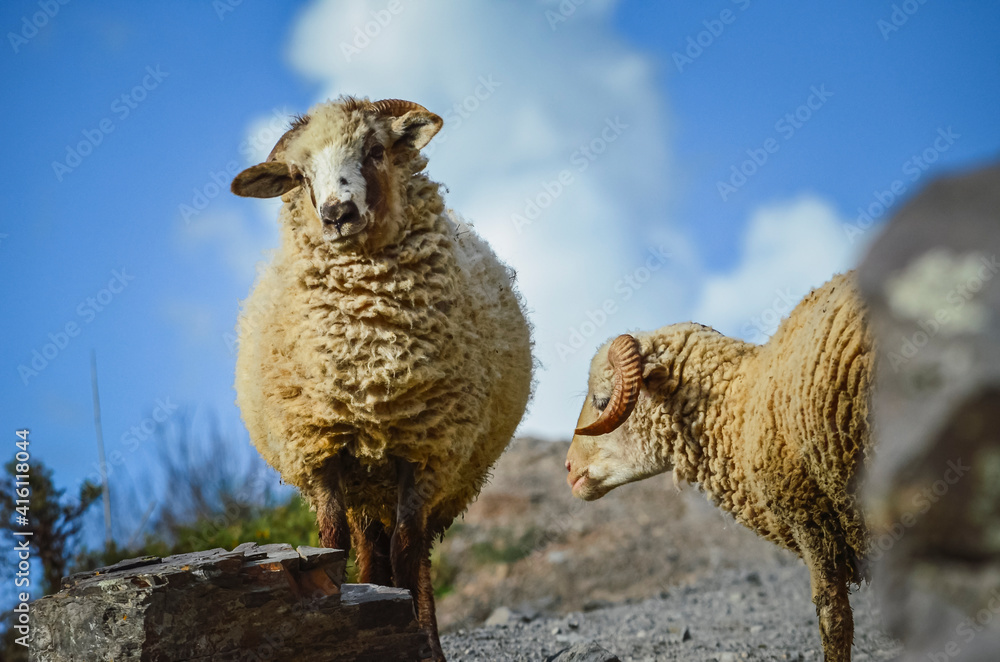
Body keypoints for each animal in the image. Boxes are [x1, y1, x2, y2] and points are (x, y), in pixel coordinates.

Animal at [230, 96, 533, 660]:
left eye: (374, 150)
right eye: (299, 175)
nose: (337, 215)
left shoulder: (426, 454)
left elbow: (408, 552)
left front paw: (419, 640)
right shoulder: (321, 452)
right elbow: (329, 548)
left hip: (441, 483)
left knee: (412, 555)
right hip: (364, 485)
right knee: (371, 551)